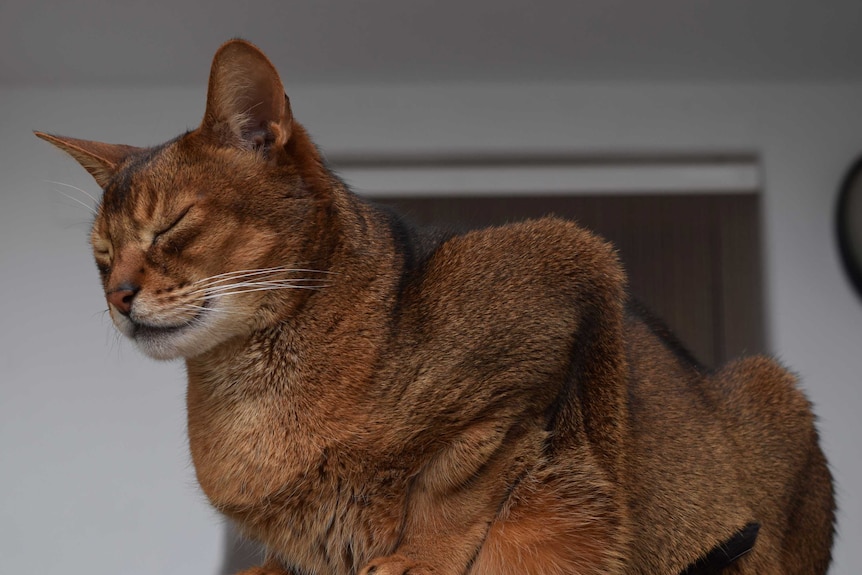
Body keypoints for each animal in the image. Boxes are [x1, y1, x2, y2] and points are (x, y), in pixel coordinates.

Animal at [35, 38, 836, 572]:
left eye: (171, 225)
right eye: (100, 253)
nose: (117, 296)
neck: (248, 390)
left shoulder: (569, 269)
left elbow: (463, 477)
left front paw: (417, 554)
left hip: (773, 389)